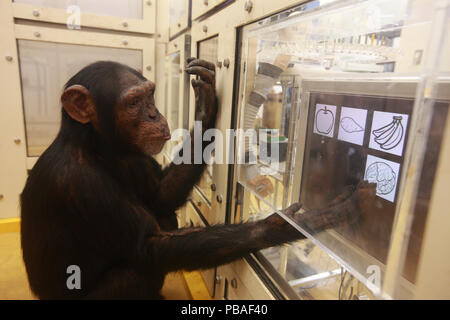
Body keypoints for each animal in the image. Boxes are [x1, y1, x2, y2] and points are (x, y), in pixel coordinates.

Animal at [20, 58, 372, 300]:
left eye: (150, 95)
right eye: (133, 102)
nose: (154, 114)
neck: (99, 147)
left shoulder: (138, 157)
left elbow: (160, 196)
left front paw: (205, 101)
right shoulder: (79, 184)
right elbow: (148, 247)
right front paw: (293, 224)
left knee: (165, 214)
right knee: (133, 273)